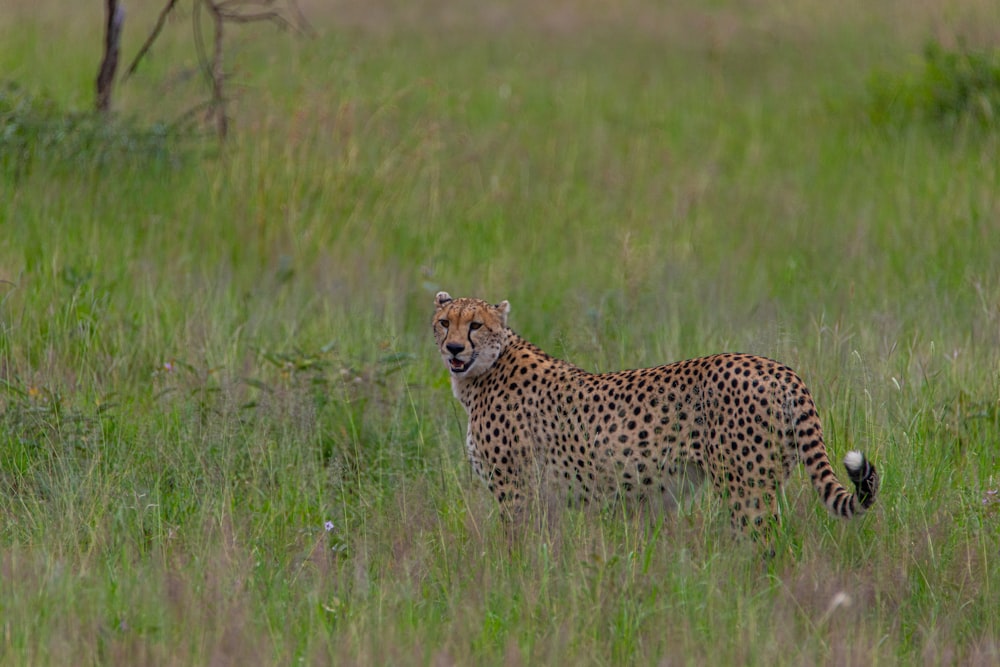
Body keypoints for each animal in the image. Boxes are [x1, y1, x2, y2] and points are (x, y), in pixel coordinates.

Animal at [434, 290, 880, 536]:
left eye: (475, 325)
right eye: (443, 322)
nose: (453, 348)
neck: (483, 372)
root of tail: (777, 367)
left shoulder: (517, 493)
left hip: (745, 488)